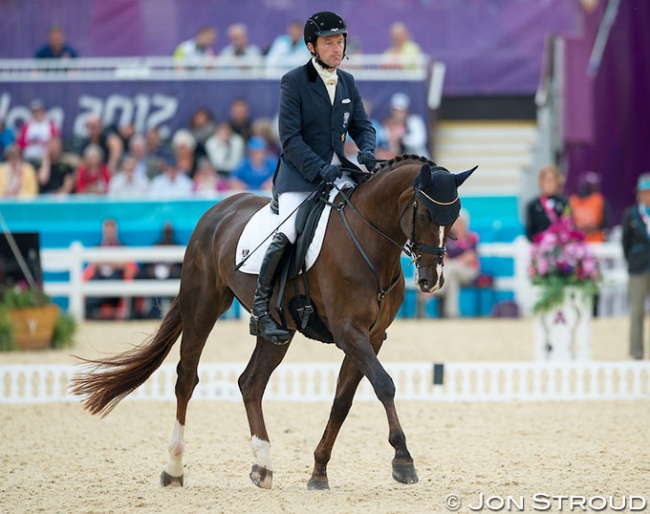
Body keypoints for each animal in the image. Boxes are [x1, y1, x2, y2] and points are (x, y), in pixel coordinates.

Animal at [72, 154, 476, 490]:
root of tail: (218, 210)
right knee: (187, 378)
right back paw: (174, 468)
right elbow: (385, 384)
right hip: (202, 306)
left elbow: (342, 401)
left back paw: (262, 466)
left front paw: (318, 471)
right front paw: (403, 461)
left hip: (277, 330)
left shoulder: (372, 336)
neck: (370, 244)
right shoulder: (349, 332)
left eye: (454, 215)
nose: (431, 280)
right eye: (423, 214)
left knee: (250, 382)